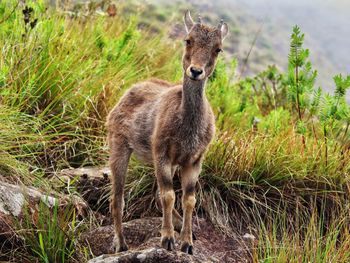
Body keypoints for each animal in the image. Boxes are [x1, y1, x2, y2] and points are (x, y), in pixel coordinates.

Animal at [106, 10, 230, 256]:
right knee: (118, 199)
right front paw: (167, 239)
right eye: (188, 40)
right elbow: (168, 195)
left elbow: (189, 199)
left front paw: (187, 242)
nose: (196, 71)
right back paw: (120, 243)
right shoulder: (161, 152)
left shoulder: (193, 160)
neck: (187, 127)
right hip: (119, 144)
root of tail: (128, 92)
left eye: (218, 48)